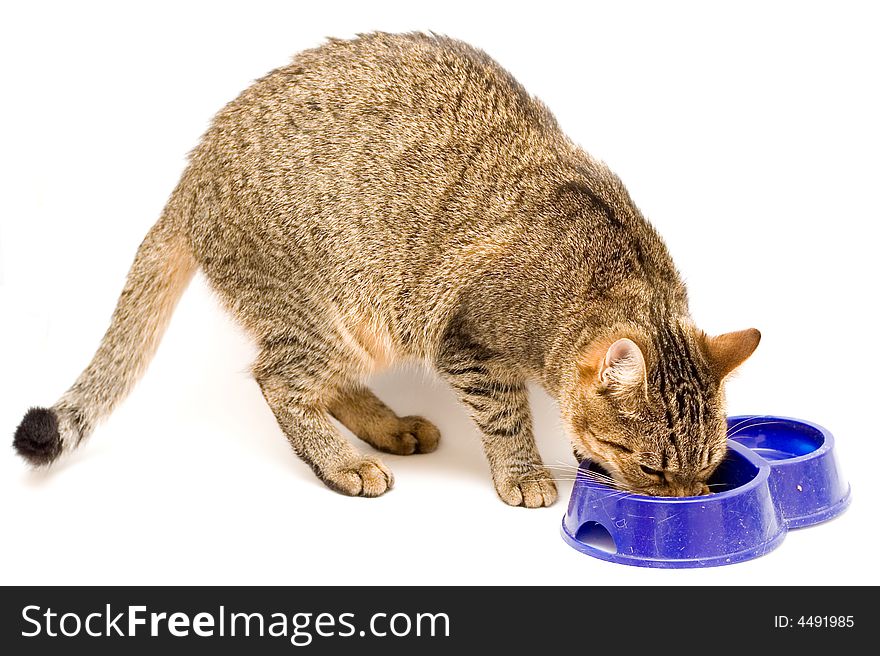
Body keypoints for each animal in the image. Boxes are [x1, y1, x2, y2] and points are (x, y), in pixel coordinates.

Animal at [10, 33, 760, 504]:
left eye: (708, 466)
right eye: (652, 468)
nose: (687, 500)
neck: (613, 274)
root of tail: (192, 173)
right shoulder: (469, 345)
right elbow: (506, 417)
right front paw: (522, 472)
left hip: (363, 326)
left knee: (321, 383)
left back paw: (389, 428)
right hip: (333, 312)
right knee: (279, 380)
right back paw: (345, 464)